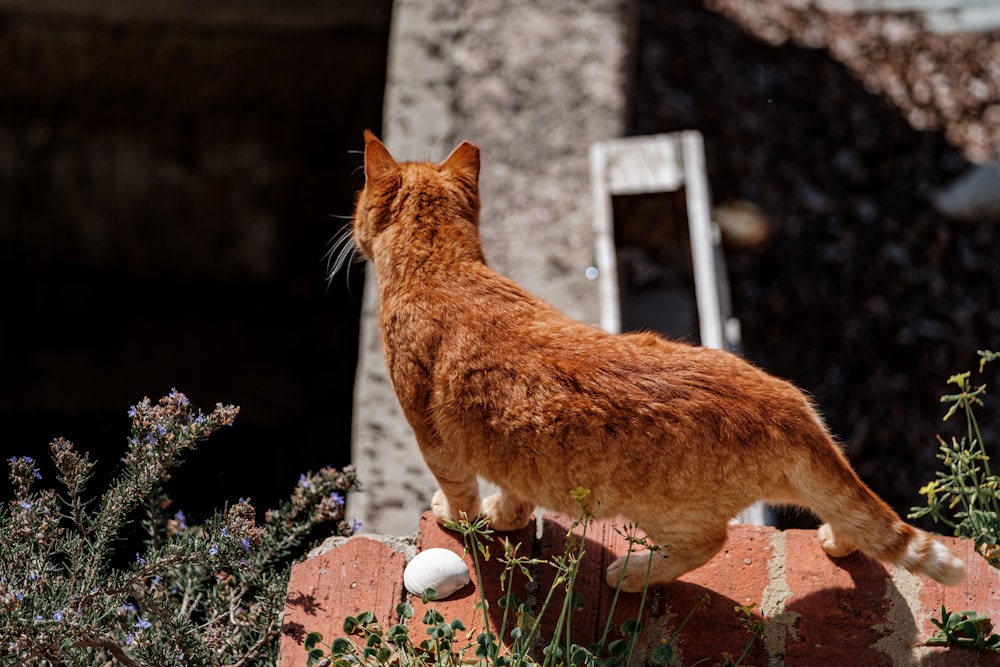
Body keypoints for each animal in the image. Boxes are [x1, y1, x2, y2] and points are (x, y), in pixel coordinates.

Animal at [354, 130, 968, 588]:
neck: (441, 268)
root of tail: (784, 404)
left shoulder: (433, 440)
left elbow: (461, 494)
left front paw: (461, 519)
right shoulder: (510, 456)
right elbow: (514, 495)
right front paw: (506, 519)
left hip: (663, 514)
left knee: (710, 544)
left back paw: (633, 574)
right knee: (849, 516)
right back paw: (837, 543)